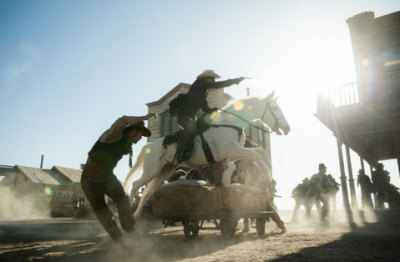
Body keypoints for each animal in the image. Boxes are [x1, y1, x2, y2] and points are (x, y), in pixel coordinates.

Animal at [123, 91, 290, 218]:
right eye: (274, 108)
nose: (287, 128)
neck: (230, 123)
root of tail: (149, 146)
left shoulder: (235, 153)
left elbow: (259, 153)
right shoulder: (232, 150)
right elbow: (256, 157)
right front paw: (267, 178)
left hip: (164, 171)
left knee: (147, 191)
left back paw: (136, 216)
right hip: (151, 170)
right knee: (135, 185)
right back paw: (129, 214)